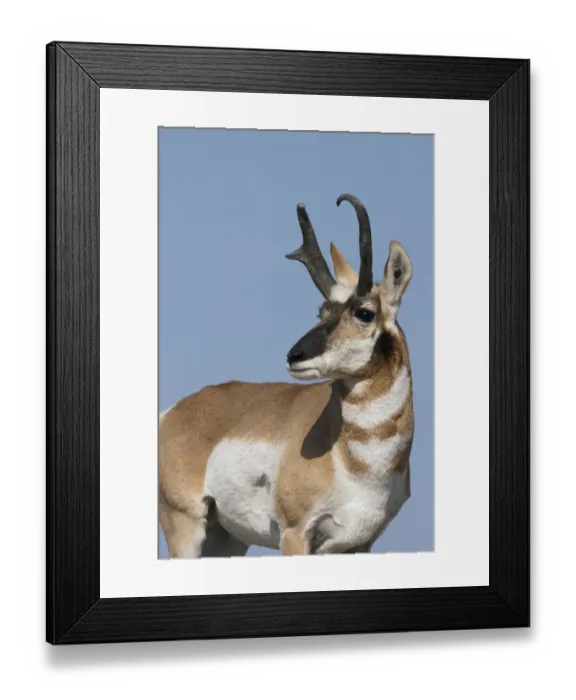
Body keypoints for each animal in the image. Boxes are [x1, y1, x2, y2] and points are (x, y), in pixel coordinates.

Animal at [159, 194, 414, 558]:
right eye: (321, 311)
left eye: (364, 313)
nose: (295, 356)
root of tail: (172, 413)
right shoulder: (295, 533)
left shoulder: (359, 545)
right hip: (185, 528)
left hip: (228, 540)